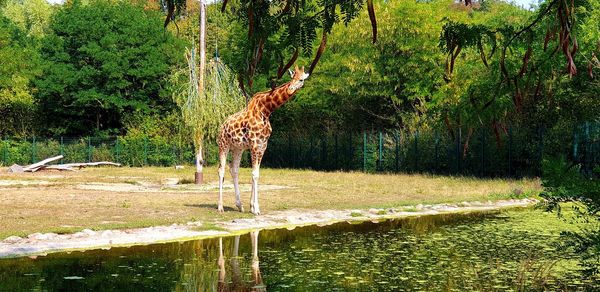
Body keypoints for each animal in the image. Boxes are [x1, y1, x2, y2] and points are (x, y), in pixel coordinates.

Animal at [217, 64, 310, 214]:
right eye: (292, 77)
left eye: (301, 79)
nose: (290, 89)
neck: (266, 110)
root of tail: (222, 126)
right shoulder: (255, 144)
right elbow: (254, 174)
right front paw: (256, 209)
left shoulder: (262, 145)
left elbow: (256, 173)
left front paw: (252, 206)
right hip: (223, 145)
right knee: (221, 169)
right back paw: (220, 206)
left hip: (238, 148)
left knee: (234, 169)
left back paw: (240, 205)